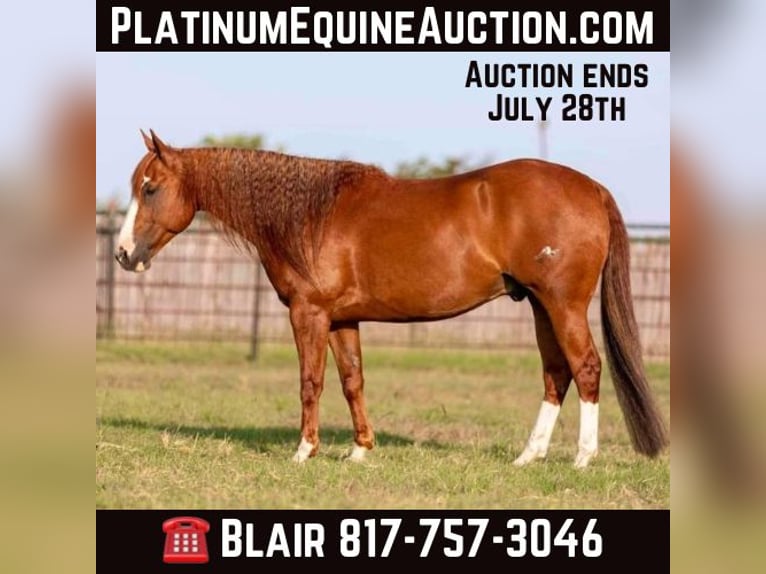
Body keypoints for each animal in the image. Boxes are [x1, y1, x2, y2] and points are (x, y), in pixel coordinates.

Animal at [115, 130, 668, 468]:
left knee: (586, 367)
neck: (307, 216)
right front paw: (360, 450)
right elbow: (352, 381)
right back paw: (528, 456)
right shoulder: (341, 320)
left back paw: (582, 458)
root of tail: (591, 187)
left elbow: (311, 382)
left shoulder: (309, 314)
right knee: (556, 374)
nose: (123, 253)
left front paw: (304, 450)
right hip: (537, 304)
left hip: (562, 303)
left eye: (150, 188)